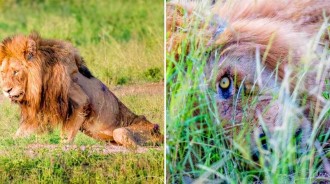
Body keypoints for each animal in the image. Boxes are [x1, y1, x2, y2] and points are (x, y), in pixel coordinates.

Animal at [0, 32, 164, 147]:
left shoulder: (81, 101)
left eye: (16, 72)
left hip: (126, 131)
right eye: (3, 72)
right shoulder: (38, 111)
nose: (6, 90)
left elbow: (66, 134)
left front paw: (63, 144)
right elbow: (19, 134)